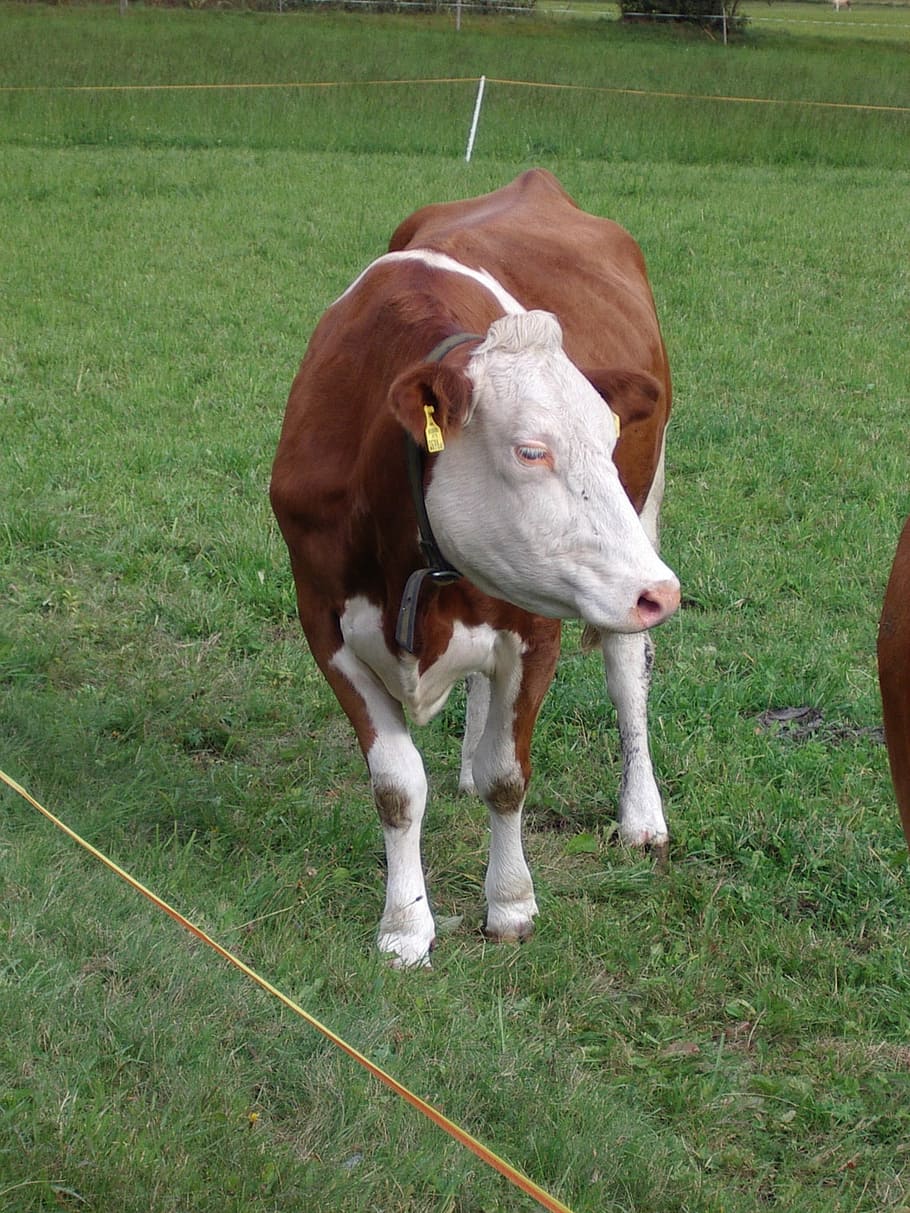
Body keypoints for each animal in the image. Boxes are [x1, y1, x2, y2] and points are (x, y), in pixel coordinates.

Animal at [270, 169, 680, 966]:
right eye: (531, 450)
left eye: (609, 436)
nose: (663, 591)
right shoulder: (323, 622)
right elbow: (398, 786)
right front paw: (404, 927)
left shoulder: (540, 627)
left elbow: (508, 776)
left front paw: (510, 903)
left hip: (642, 522)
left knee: (627, 668)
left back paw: (641, 813)